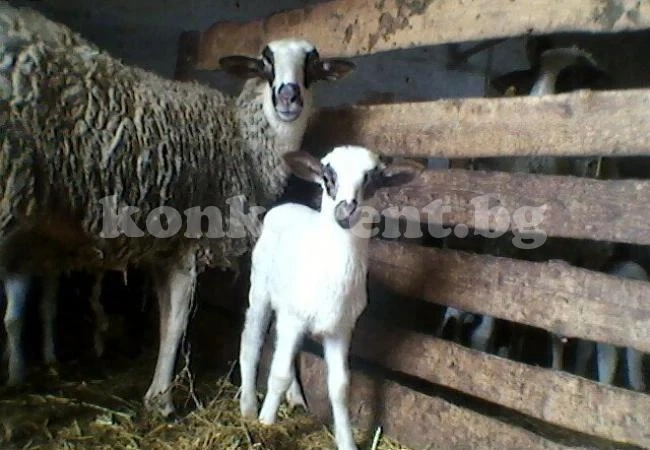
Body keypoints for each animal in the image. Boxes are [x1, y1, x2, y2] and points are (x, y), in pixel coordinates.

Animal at [0, 2, 355, 417]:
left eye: (311, 65)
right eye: (265, 63)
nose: (288, 97)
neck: (243, 142)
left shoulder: (164, 248)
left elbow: (165, 316)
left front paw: (158, 391)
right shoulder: (190, 239)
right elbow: (176, 322)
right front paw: (163, 399)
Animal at [238, 146, 424, 450]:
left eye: (372, 179)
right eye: (327, 177)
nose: (345, 211)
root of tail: (286, 206)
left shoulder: (341, 329)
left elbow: (340, 387)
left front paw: (346, 441)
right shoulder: (294, 319)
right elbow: (278, 374)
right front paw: (265, 425)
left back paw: (295, 397)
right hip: (261, 287)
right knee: (251, 342)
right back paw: (248, 408)